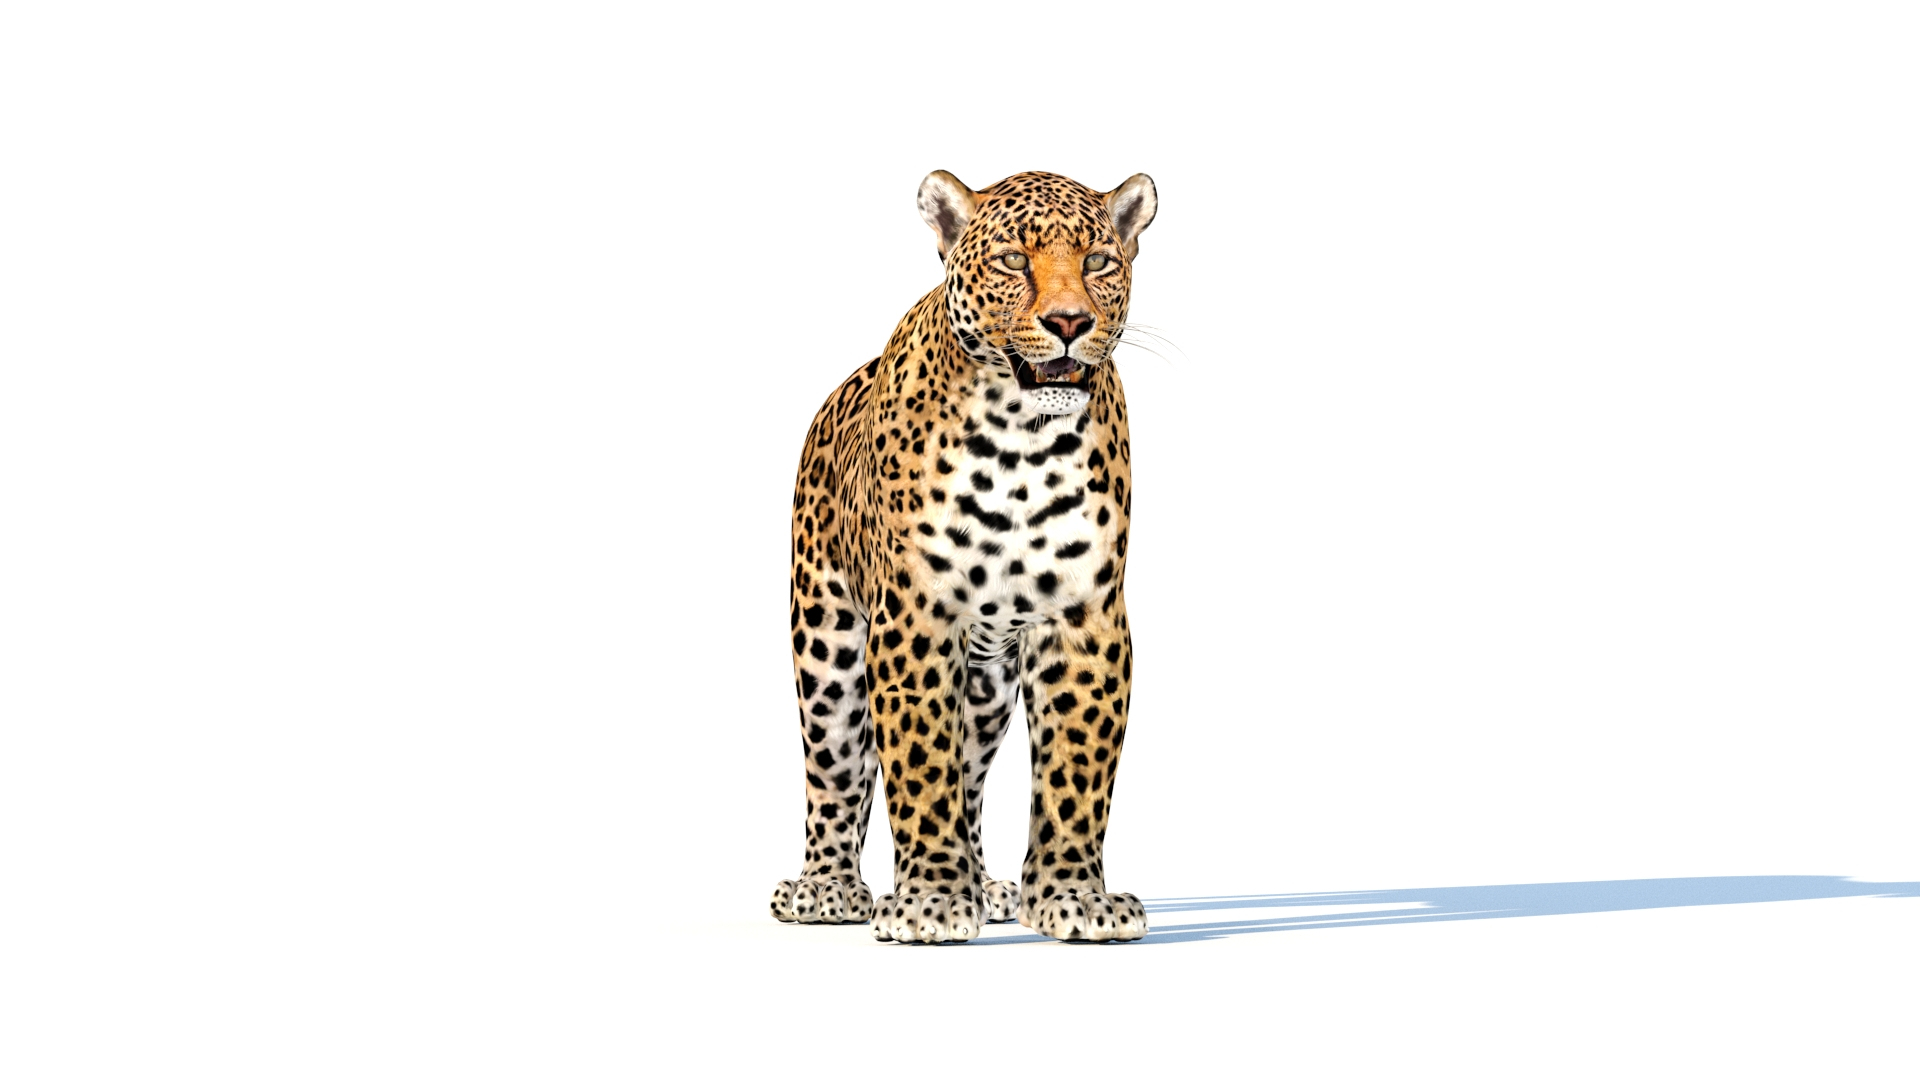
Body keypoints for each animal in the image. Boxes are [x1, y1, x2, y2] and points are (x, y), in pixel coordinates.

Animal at [769, 170, 1158, 944]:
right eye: (1012, 260)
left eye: (1100, 261)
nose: (1069, 322)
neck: (1022, 442)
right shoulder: (915, 618)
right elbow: (920, 766)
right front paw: (930, 903)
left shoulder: (1086, 618)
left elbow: (1077, 769)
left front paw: (1073, 898)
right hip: (825, 642)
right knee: (834, 771)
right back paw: (827, 889)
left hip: (985, 683)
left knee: (971, 772)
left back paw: (987, 886)